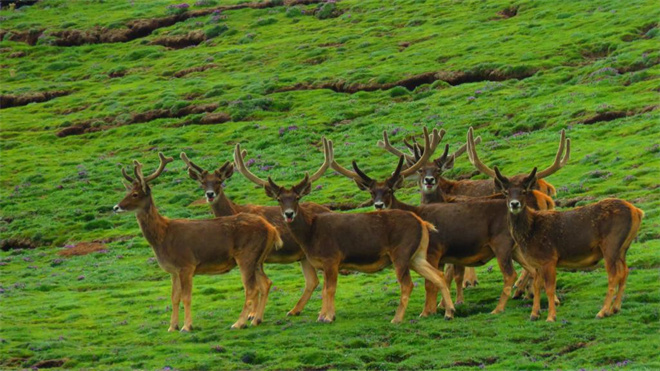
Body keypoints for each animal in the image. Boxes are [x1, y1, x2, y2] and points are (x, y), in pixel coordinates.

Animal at [113, 153, 282, 332]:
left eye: (135, 194)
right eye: (127, 191)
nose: (116, 207)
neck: (162, 237)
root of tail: (272, 229)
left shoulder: (186, 265)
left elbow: (186, 297)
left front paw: (187, 326)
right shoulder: (173, 271)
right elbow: (174, 297)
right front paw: (172, 326)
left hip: (246, 255)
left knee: (251, 289)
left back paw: (239, 323)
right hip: (258, 259)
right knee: (266, 283)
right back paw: (256, 319)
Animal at [179, 150, 330, 318]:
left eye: (219, 181)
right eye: (202, 182)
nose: (210, 194)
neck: (235, 211)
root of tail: (330, 210)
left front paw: (252, 314)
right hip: (303, 256)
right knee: (313, 281)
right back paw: (294, 310)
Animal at [235, 133, 456, 322]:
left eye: (297, 198)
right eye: (280, 199)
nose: (288, 214)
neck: (310, 236)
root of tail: (423, 223)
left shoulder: (332, 257)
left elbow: (329, 289)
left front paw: (327, 317)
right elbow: (325, 288)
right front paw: (323, 315)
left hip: (401, 252)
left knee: (408, 284)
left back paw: (397, 318)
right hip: (417, 255)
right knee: (438, 276)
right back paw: (449, 311)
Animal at [332, 129, 540, 316]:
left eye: (390, 190)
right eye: (371, 192)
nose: (379, 205)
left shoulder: (434, 250)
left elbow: (430, 283)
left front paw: (427, 312)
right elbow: (438, 280)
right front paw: (438, 308)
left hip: (501, 243)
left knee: (511, 274)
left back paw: (500, 307)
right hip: (516, 248)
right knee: (534, 268)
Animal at [470, 134, 644, 322]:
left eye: (524, 191)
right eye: (506, 192)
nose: (514, 204)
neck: (530, 234)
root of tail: (637, 211)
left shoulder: (549, 258)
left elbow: (550, 287)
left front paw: (551, 316)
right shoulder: (536, 262)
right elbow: (537, 285)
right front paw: (534, 314)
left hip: (611, 243)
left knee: (613, 275)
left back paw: (603, 311)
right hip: (623, 248)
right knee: (625, 271)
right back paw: (615, 308)